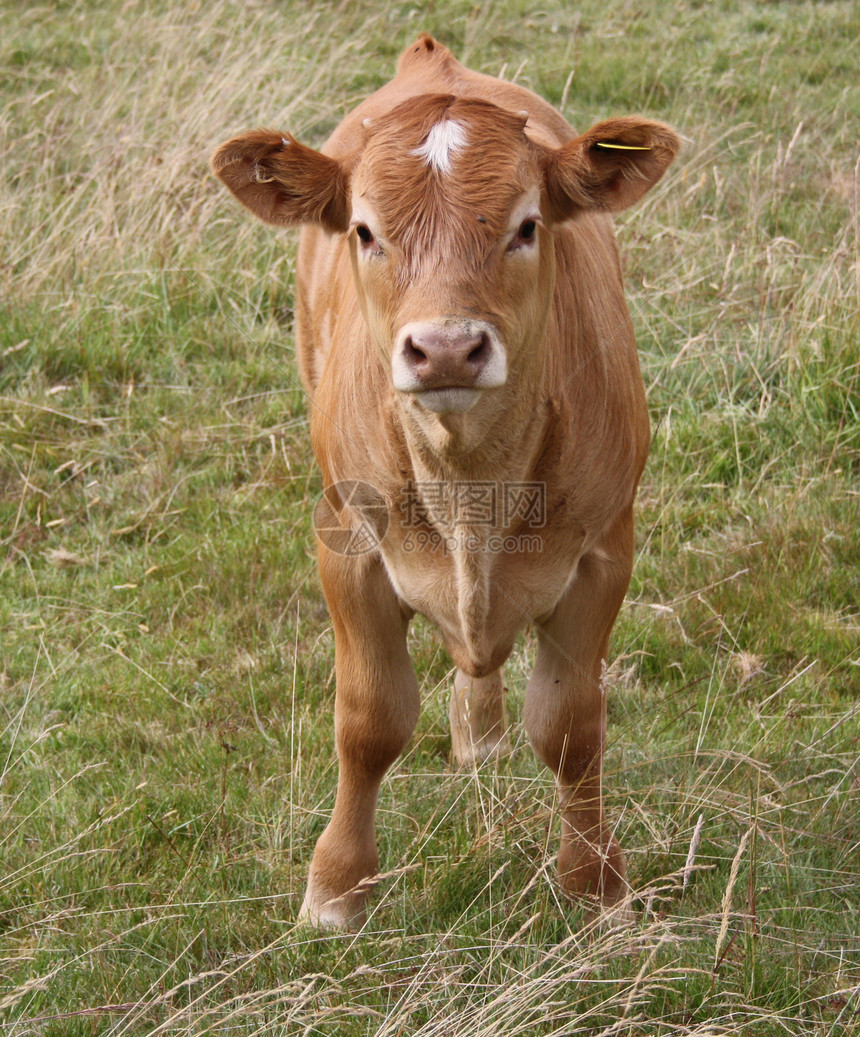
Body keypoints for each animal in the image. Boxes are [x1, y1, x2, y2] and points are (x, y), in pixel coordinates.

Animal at [212, 32, 676, 929]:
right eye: (365, 230)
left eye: (527, 225)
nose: (449, 348)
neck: (470, 486)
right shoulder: (346, 543)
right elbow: (368, 722)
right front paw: (337, 887)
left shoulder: (605, 549)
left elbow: (572, 727)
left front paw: (594, 881)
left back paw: (481, 729)